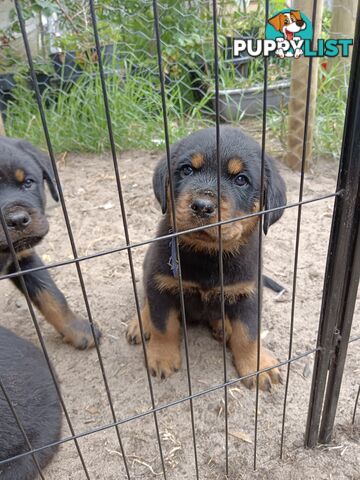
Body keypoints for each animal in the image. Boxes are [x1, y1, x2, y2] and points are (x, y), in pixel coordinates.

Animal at [126, 126, 286, 390]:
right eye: (187, 170)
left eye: (240, 179)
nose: (202, 206)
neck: (208, 255)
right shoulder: (160, 283)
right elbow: (163, 325)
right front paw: (162, 356)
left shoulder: (249, 292)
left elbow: (248, 333)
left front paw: (257, 364)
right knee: (147, 302)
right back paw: (140, 324)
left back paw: (223, 326)